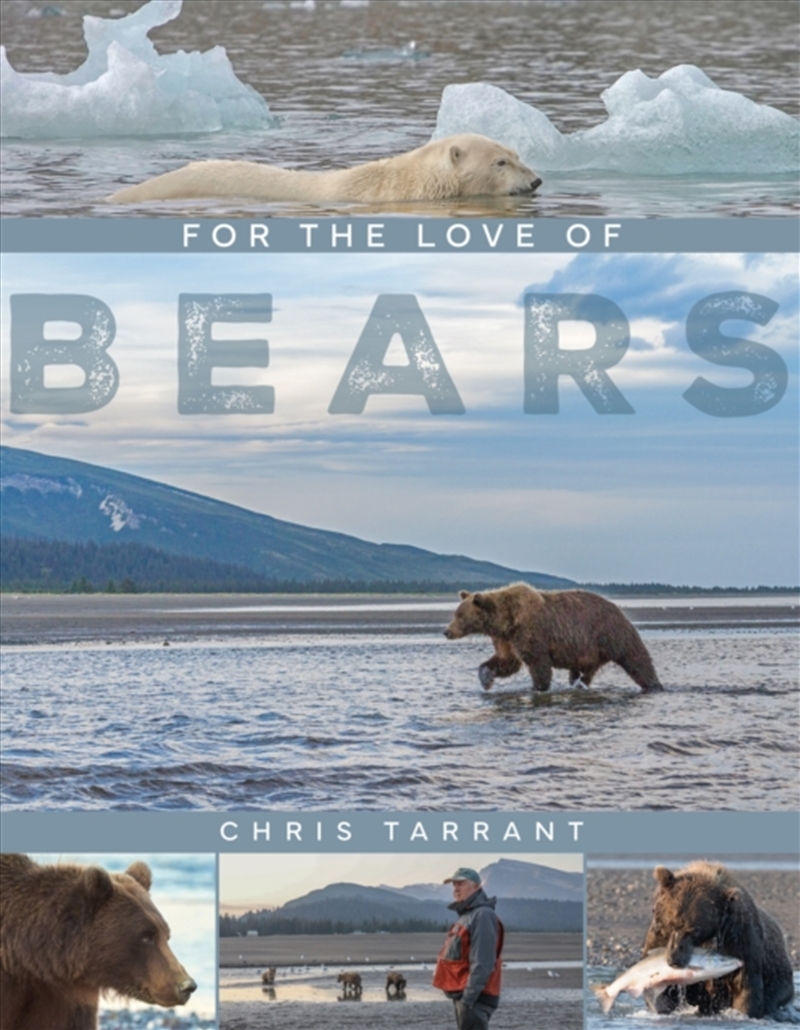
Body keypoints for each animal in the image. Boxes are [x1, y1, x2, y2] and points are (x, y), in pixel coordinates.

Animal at [444, 582, 663, 692]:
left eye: (459, 616)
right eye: (454, 614)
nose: (446, 631)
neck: (507, 620)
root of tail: (619, 609)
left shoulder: (530, 630)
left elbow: (537, 662)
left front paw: (537, 688)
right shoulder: (505, 639)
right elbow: (507, 662)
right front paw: (486, 679)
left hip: (610, 633)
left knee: (636, 659)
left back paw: (654, 685)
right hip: (586, 652)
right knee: (581, 673)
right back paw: (578, 685)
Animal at [641, 861, 795, 1018]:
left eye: (693, 930)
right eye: (670, 924)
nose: (674, 960)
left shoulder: (739, 937)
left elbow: (745, 982)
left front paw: (742, 1013)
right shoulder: (659, 935)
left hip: (779, 978)